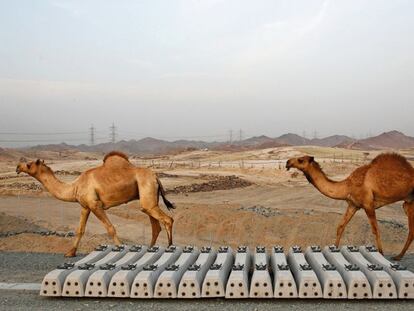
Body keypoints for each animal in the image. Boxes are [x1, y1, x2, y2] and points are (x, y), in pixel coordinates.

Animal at [15, 152, 175, 258]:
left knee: (167, 219)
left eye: (29, 164)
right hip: (148, 199)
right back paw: (150, 250)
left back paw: (169, 247)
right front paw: (70, 253)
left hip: (147, 192)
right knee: (155, 225)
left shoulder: (95, 204)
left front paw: (121, 249)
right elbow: (80, 230)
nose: (17, 167)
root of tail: (155, 176)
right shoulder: (85, 206)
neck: (75, 186)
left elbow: (110, 229)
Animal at [286, 154, 414, 260]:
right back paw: (398, 256)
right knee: (411, 230)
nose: (287, 162)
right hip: (408, 204)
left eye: (300, 160)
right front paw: (334, 250)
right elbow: (340, 226)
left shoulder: (368, 204)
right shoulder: (353, 205)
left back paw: (398, 257)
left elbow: (375, 230)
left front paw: (381, 254)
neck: (348, 186)